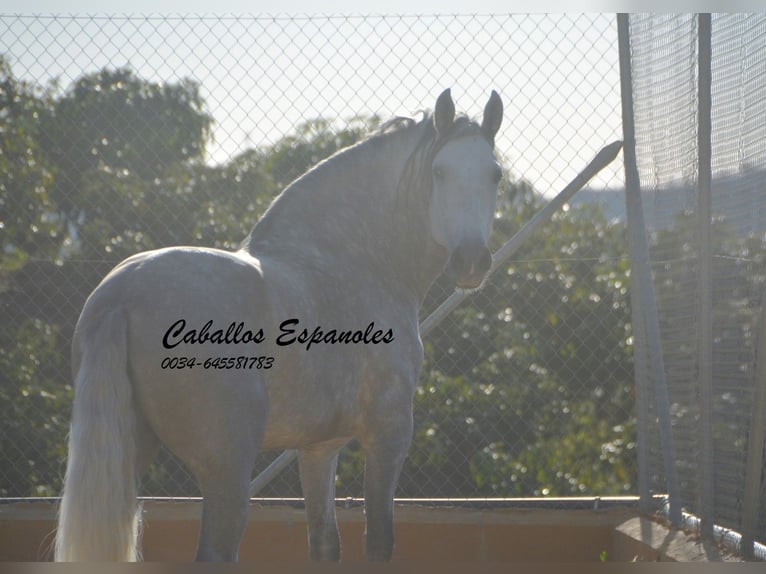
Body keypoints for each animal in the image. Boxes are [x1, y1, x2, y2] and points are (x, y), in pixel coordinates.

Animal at [57, 90, 508, 564]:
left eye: (495, 174)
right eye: (439, 171)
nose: (471, 261)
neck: (350, 260)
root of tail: (121, 293)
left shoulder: (318, 448)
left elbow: (325, 543)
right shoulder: (389, 432)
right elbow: (379, 540)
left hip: (129, 453)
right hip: (227, 469)